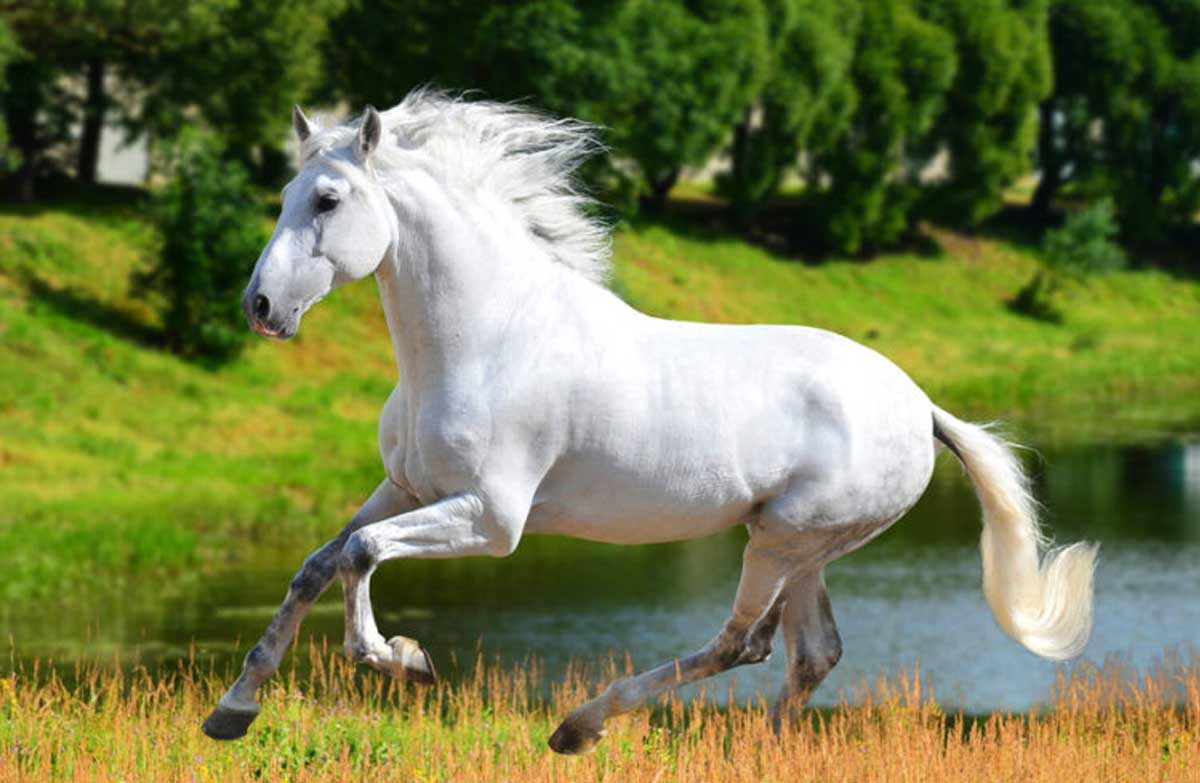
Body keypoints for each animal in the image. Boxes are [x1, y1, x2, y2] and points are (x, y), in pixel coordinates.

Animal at [202, 90, 1098, 754]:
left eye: (327, 198)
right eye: (283, 197)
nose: (260, 307)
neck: (486, 336)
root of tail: (921, 406)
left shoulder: (492, 519)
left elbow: (359, 555)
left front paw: (402, 658)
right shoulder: (406, 487)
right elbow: (316, 565)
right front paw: (233, 710)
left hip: (784, 538)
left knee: (743, 642)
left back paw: (578, 726)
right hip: (803, 543)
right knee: (808, 651)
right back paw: (759, 750)